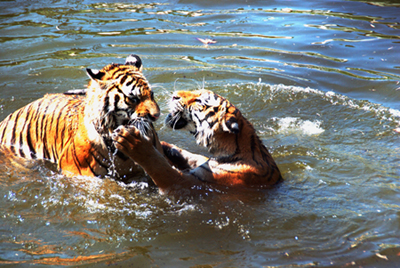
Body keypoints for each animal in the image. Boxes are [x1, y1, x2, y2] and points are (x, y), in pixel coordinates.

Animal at [111, 90, 282, 195]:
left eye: (200, 100)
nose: (174, 95)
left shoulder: (189, 184)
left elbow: (159, 166)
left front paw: (133, 141)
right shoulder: (203, 163)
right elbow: (190, 155)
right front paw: (165, 145)